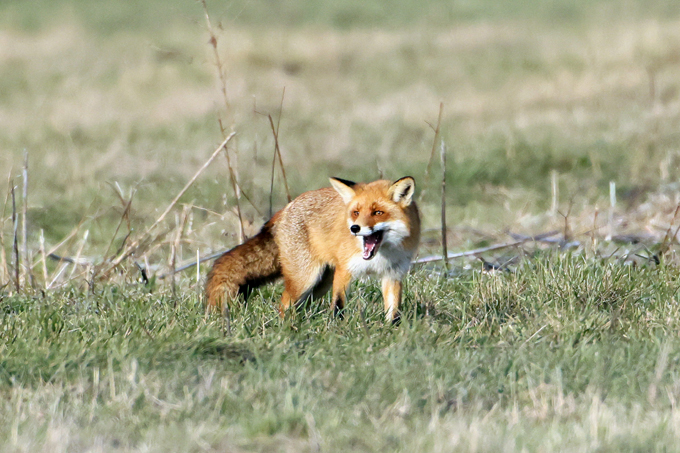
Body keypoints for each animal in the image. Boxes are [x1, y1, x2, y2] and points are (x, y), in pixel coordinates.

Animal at [205, 176, 420, 322]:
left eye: (378, 212)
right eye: (356, 213)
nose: (354, 228)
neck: (381, 254)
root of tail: (286, 207)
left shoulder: (393, 274)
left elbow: (393, 310)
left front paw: (391, 330)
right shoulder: (344, 269)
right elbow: (338, 304)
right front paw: (337, 328)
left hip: (320, 282)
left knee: (300, 305)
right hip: (306, 278)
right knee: (284, 303)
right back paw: (287, 327)